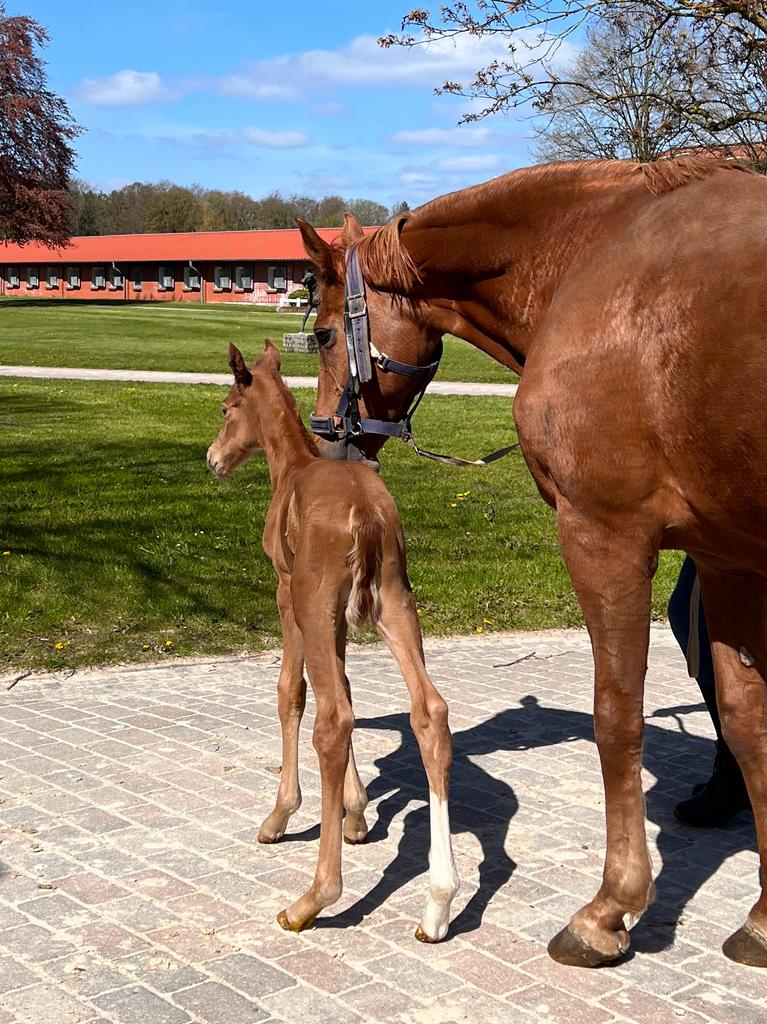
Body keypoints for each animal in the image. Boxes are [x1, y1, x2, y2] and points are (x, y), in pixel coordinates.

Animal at [203, 346, 458, 942]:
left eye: (226, 409)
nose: (212, 459)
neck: (293, 466)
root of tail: (365, 516)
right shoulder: (342, 617)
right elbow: (343, 682)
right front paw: (357, 811)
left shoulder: (287, 594)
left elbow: (292, 693)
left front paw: (282, 815)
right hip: (396, 602)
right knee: (428, 710)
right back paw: (438, 904)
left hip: (314, 602)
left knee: (333, 721)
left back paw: (312, 899)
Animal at [294, 157, 767, 966]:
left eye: (325, 334)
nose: (331, 438)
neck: (592, 256)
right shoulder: (725, 559)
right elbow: (746, 719)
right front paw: (764, 917)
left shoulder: (603, 534)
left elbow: (617, 715)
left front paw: (609, 909)